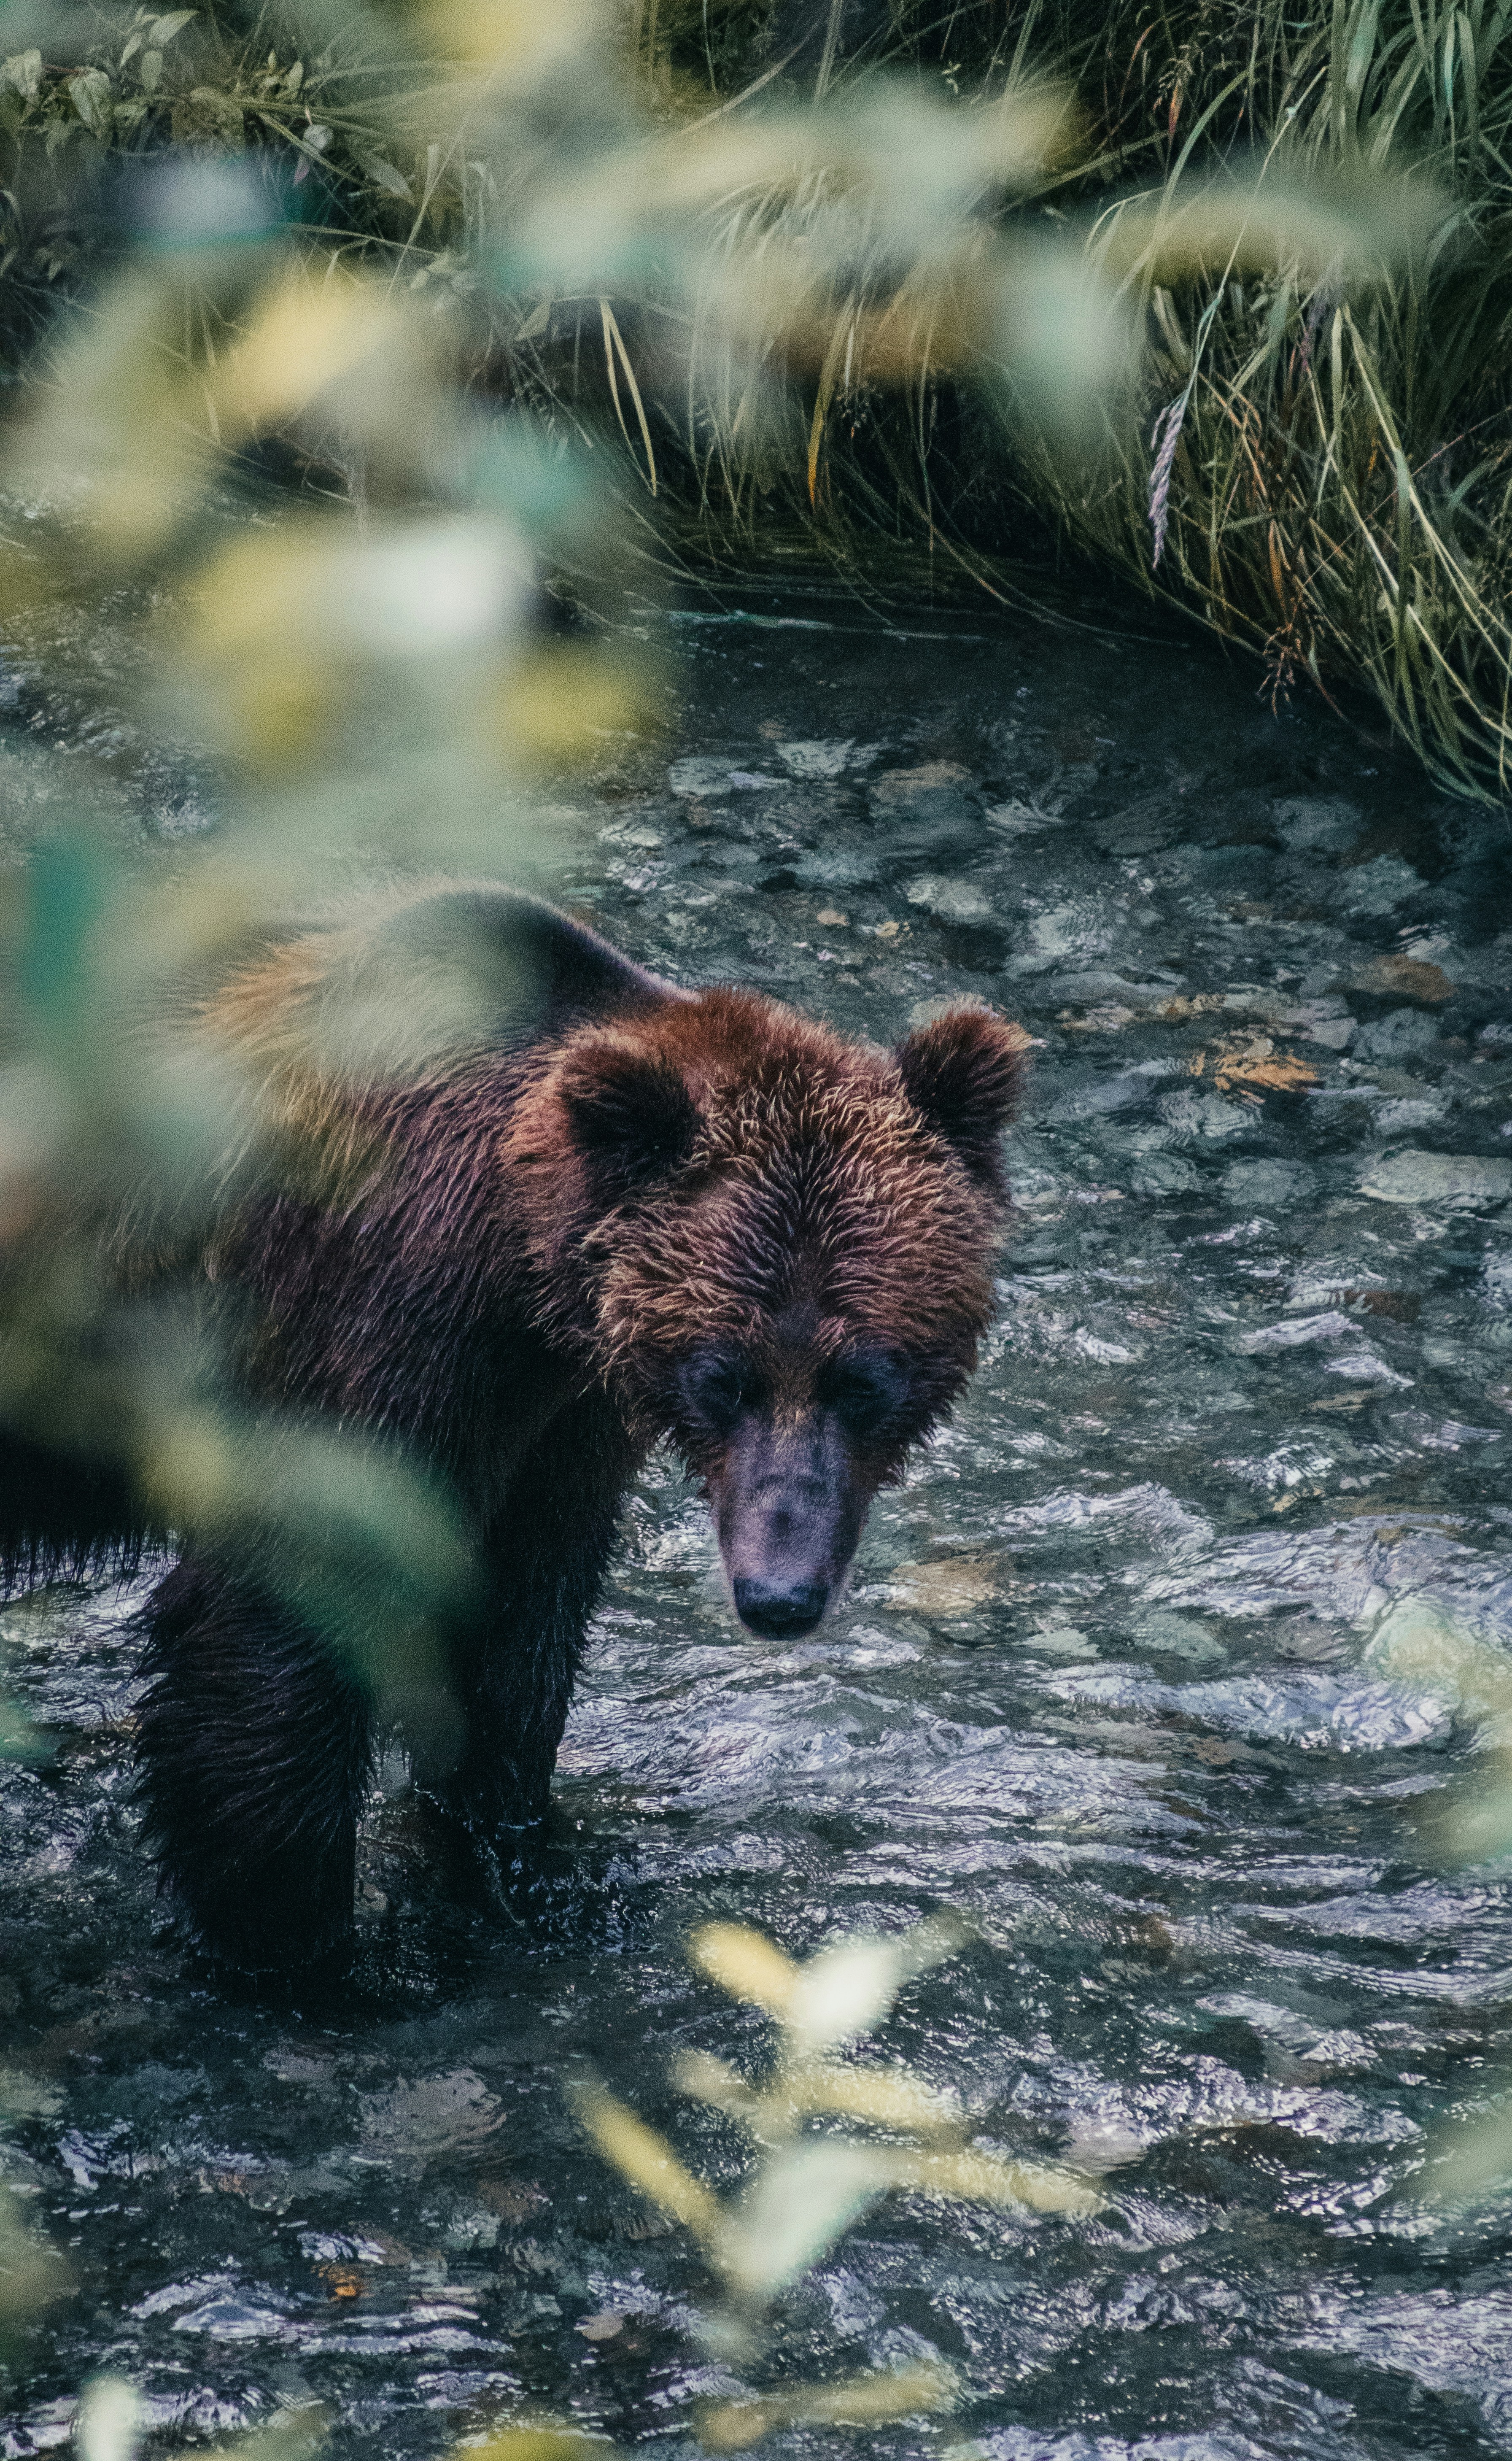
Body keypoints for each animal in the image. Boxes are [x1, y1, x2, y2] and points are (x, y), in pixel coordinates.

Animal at [0, 884, 1027, 1972]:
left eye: (863, 1378)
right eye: (722, 1376)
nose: (778, 1592)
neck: (517, 1271)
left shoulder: (557, 1414)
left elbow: (515, 1637)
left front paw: (521, 1861)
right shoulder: (366, 1326)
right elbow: (276, 1630)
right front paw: (304, 1949)